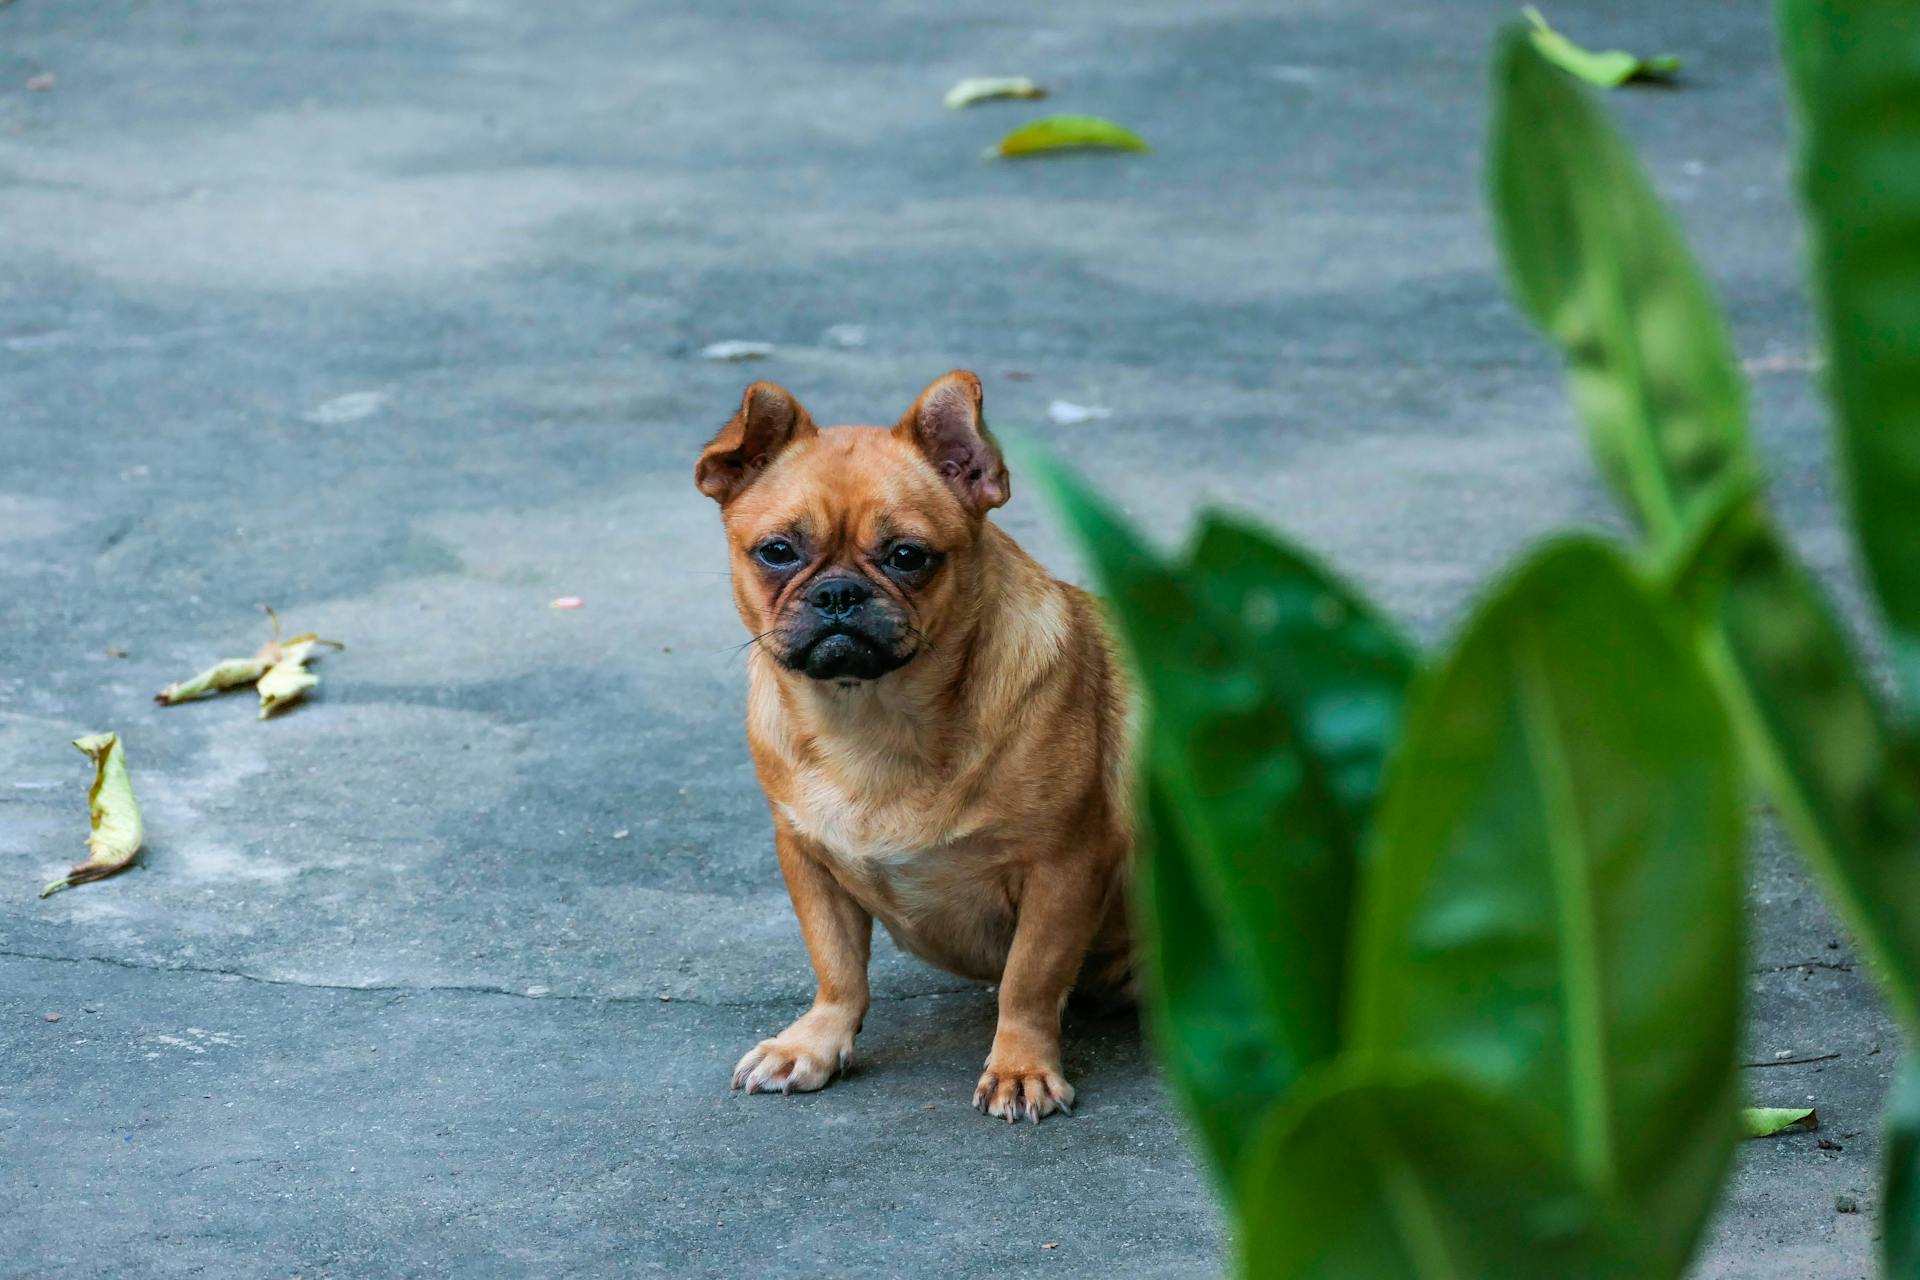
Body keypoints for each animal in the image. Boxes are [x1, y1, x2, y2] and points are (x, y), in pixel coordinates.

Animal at [695, 368, 1128, 1120]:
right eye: (777, 552)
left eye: (908, 557)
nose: (839, 593)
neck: (872, 718)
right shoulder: (805, 856)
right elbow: (838, 967)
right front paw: (813, 1043)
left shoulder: (1065, 867)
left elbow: (1030, 978)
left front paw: (1020, 1066)